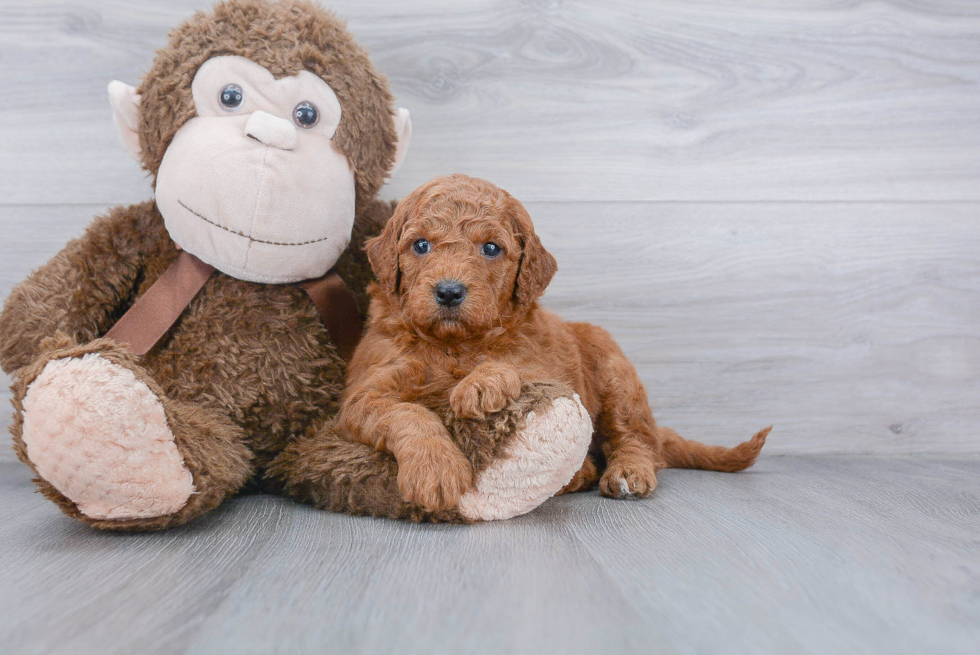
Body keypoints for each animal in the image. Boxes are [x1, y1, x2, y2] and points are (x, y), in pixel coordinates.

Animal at [340, 174, 768, 512]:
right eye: (421, 245)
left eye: (491, 248)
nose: (448, 291)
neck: (454, 344)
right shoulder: (364, 393)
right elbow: (408, 413)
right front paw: (436, 469)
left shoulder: (543, 365)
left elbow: (512, 366)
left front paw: (480, 384)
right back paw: (581, 473)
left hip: (616, 373)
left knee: (637, 439)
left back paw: (626, 471)